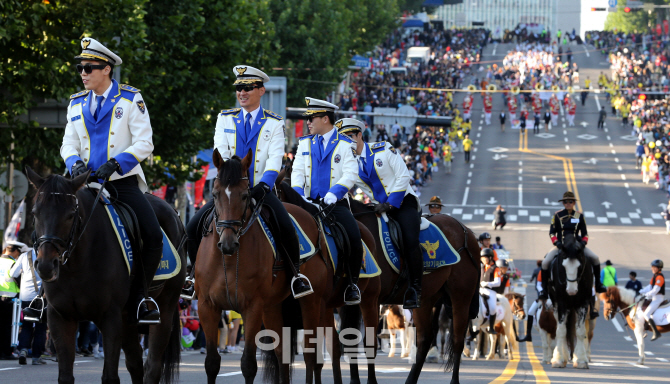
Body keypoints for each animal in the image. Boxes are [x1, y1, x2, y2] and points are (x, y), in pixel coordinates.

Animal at [25, 168, 184, 384]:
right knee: (135, 363)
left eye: (70, 215)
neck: (77, 264)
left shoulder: (110, 317)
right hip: (127, 319)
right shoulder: (60, 317)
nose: (46, 266)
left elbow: (110, 377)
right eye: (35, 213)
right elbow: (65, 376)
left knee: (152, 367)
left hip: (164, 309)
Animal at [276, 164, 480, 384]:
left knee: (458, 338)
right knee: (425, 339)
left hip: (461, 296)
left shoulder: (370, 299)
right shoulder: (345, 302)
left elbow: (368, 344)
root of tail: (465, 230)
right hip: (428, 299)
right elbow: (348, 340)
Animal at [548, 231, 596, 368]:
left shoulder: (583, 303)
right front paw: (558, 359)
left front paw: (581, 360)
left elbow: (580, 331)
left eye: (579, 267)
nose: (571, 291)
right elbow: (561, 331)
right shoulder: (562, 303)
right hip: (556, 305)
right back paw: (561, 355)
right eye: (563, 266)